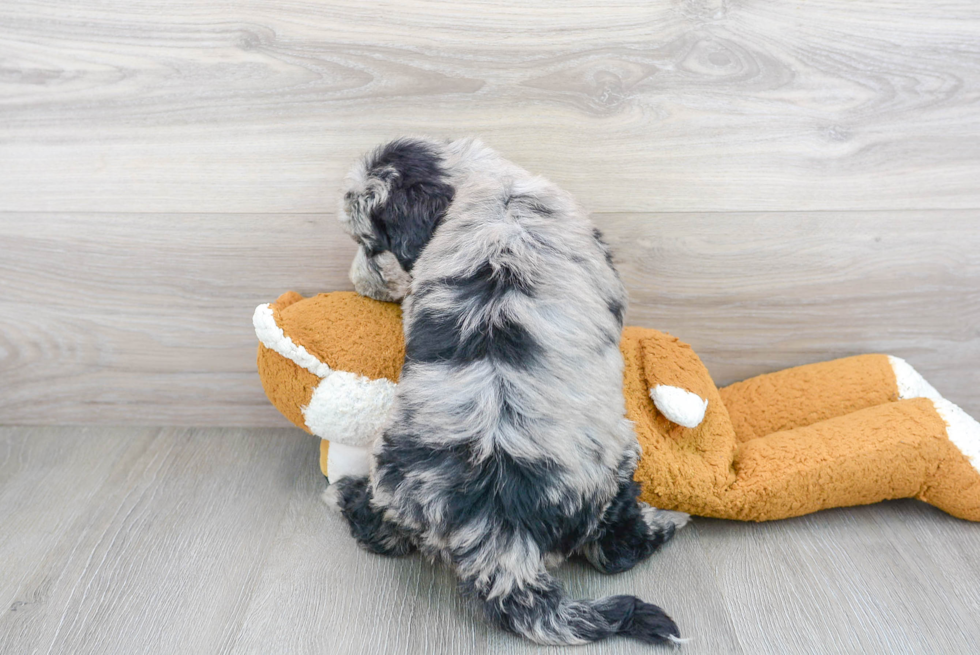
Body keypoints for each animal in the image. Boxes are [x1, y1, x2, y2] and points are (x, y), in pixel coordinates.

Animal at [326, 137, 684, 644]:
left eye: (371, 244)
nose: (359, 284)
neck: (491, 186)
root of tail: (497, 529)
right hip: (614, 466)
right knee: (614, 550)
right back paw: (666, 522)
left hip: (395, 478)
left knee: (383, 533)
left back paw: (345, 495)